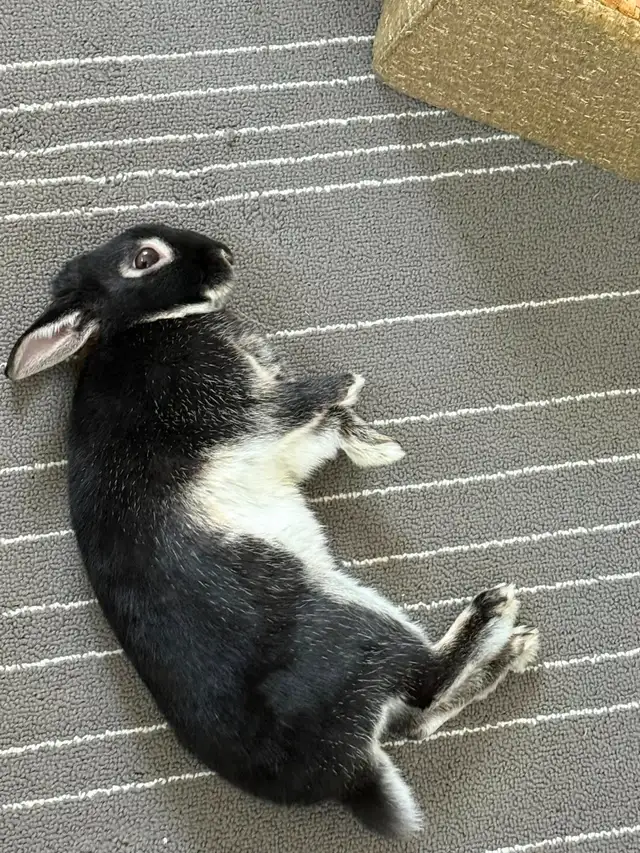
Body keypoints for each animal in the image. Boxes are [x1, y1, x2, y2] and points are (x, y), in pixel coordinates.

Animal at [6, 224, 539, 838]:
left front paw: (375, 447)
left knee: (419, 717)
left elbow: (326, 428)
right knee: (425, 683)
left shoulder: (278, 444)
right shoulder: (237, 409)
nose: (224, 253)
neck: (144, 324)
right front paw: (351, 386)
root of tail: (349, 773)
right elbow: (303, 402)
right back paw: (496, 612)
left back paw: (514, 648)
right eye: (143, 258)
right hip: (345, 617)